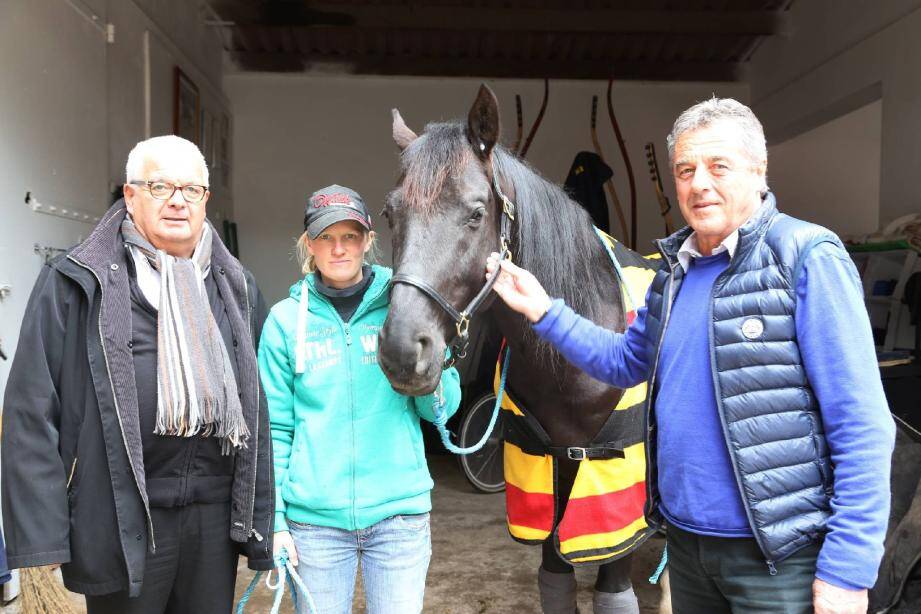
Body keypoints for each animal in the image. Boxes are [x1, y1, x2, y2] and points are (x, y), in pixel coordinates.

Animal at [378, 84, 652, 612]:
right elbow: (555, 579)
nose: (402, 350)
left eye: (476, 212)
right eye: (390, 213)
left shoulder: (620, 507)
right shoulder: (548, 482)